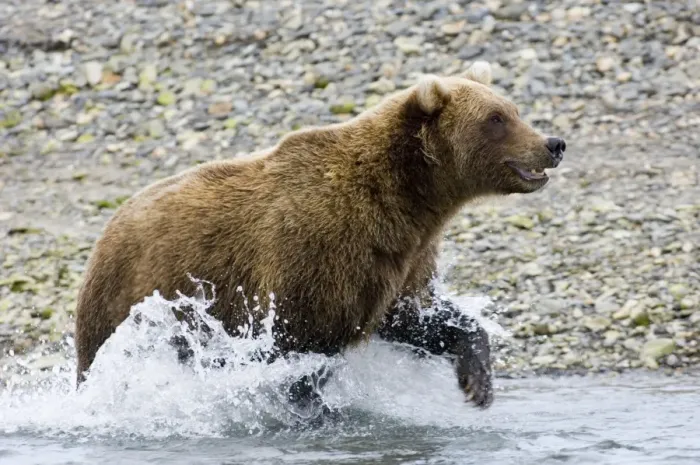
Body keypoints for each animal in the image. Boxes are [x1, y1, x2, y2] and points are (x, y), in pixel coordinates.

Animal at [73, 61, 565, 412]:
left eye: (514, 110)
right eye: (496, 118)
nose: (554, 143)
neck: (407, 201)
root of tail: (108, 227)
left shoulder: (399, 259)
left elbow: (416, 316)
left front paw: (477, 381)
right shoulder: (318, 247)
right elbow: (301, 348)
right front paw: (312, 409)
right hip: (129, 297)